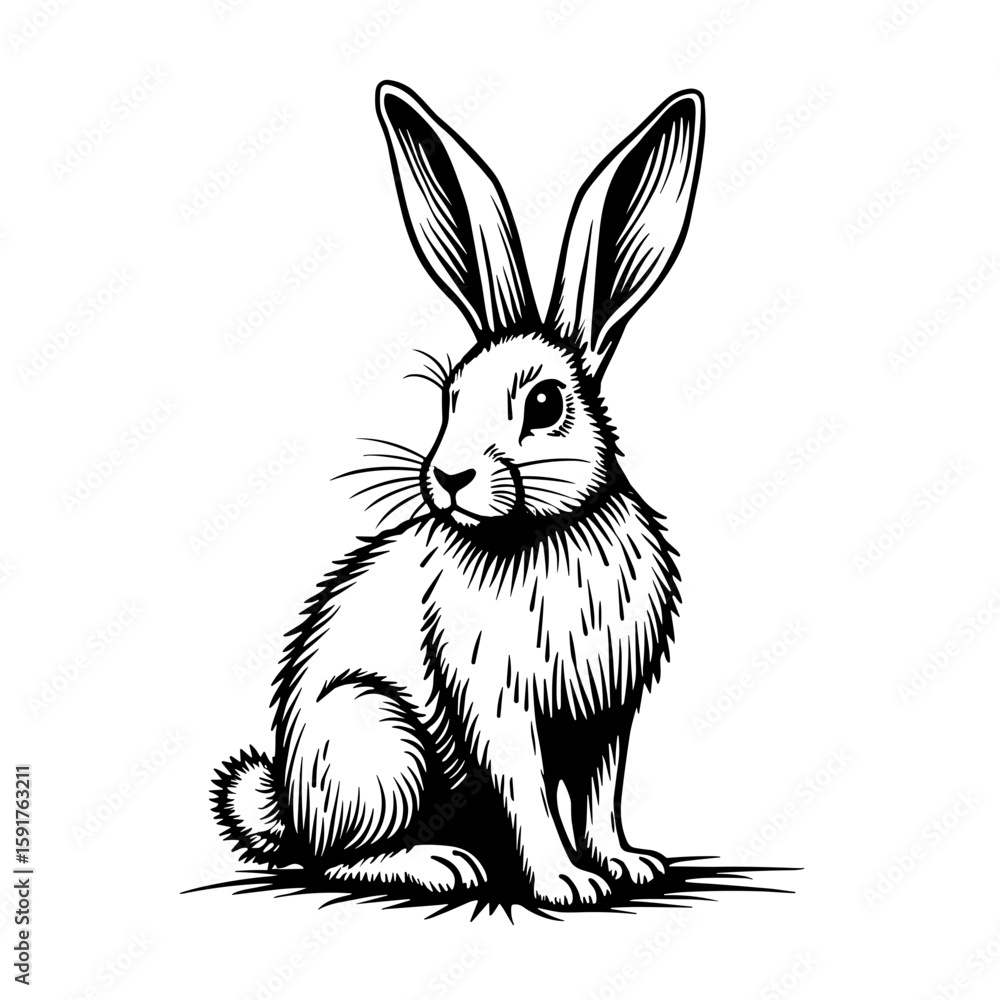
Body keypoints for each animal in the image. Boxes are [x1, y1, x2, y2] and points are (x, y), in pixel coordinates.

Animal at [212, 81, 704, 908]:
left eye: (545, 404)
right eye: (449, 395)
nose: (448, 477)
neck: (544, 530)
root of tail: (287, 804)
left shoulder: (608, 719)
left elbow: (602, 800)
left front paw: (628, 864)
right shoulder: (501, 712)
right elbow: (531, 797)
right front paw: (567, 883)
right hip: (378, 740)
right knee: (333, 859)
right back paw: (442, 865)